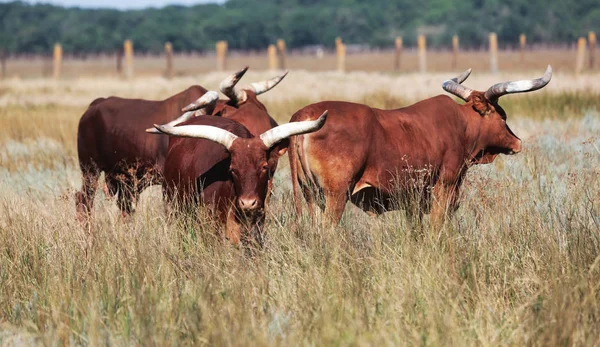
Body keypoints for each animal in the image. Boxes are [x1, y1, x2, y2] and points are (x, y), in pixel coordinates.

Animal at [75, 68, 286, 220]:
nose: (274, 158)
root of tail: (94, 105)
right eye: (242, 117)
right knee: (83, 202)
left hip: (123, 181)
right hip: (89, 170)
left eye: (266, 116)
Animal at [288, 64, 552, 226]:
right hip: (335, 195)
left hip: (312, 195)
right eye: (502, 116)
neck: (462, 124)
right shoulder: (445, 186)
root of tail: (303, 115)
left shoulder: (413, 201)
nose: (517, 142)